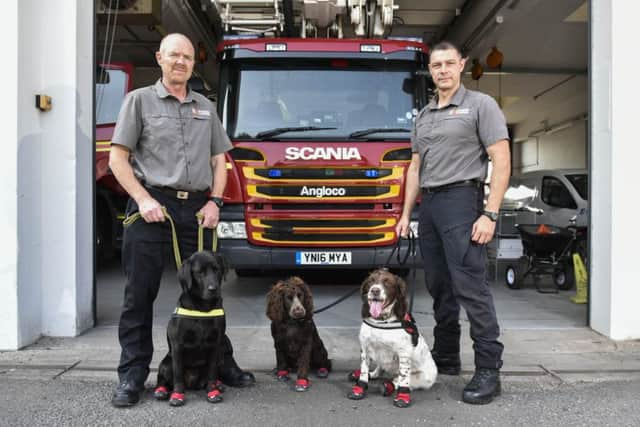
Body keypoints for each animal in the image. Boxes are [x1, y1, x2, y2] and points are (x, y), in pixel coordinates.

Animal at [152, 252, 228, 406]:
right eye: (199, 272)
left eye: (216, 269)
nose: (213, 289)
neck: (203, 308)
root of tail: (191, 383)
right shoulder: (177, 345)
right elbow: (178, 374)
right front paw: (177, 395)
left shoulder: (216, 344)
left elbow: (212, 373)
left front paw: (212, 392)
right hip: (166, 363)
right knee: (163, 379)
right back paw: (161, 391)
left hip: (219, 357)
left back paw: (217, 385)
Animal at [348, 270, 438, 410]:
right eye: (371, 281)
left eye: (387, 282)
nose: (375, 290)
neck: (380, 320)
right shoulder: (365, 348)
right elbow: (363, 371)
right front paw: (359, 389)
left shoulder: (404, 354)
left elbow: (403, 379)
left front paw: (402, 398)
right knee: (380, 369)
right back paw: (371, 374)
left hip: (424, 378)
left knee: (399, 381)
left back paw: (387, 386)